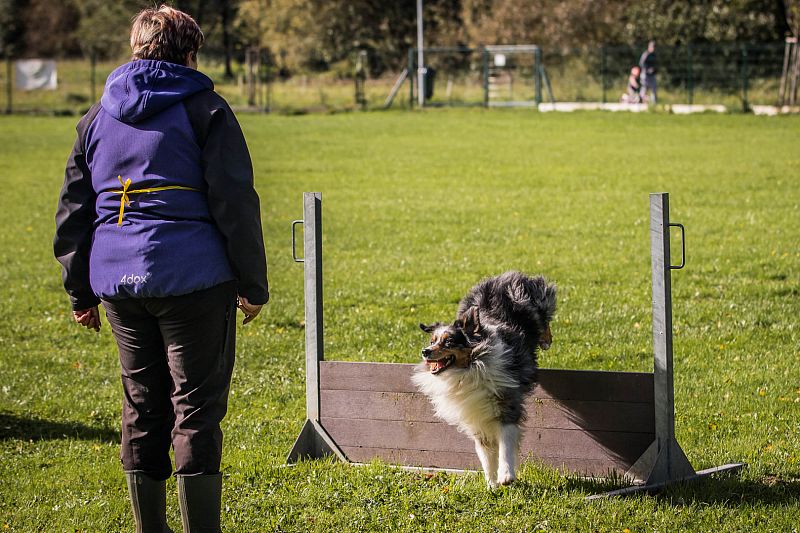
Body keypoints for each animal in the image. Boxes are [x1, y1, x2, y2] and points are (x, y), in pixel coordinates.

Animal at [412, 270, 556, 486]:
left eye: (449, 342)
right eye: (433, 341)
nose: (425, 351)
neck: (469, 369)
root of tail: (504, 276)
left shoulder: (507, 405)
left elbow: (505, 445)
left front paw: (506, 475)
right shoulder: (476, 416)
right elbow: (485, 455)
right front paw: (491, 485)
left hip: (534, 300)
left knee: (543, 319)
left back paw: (546, 340)